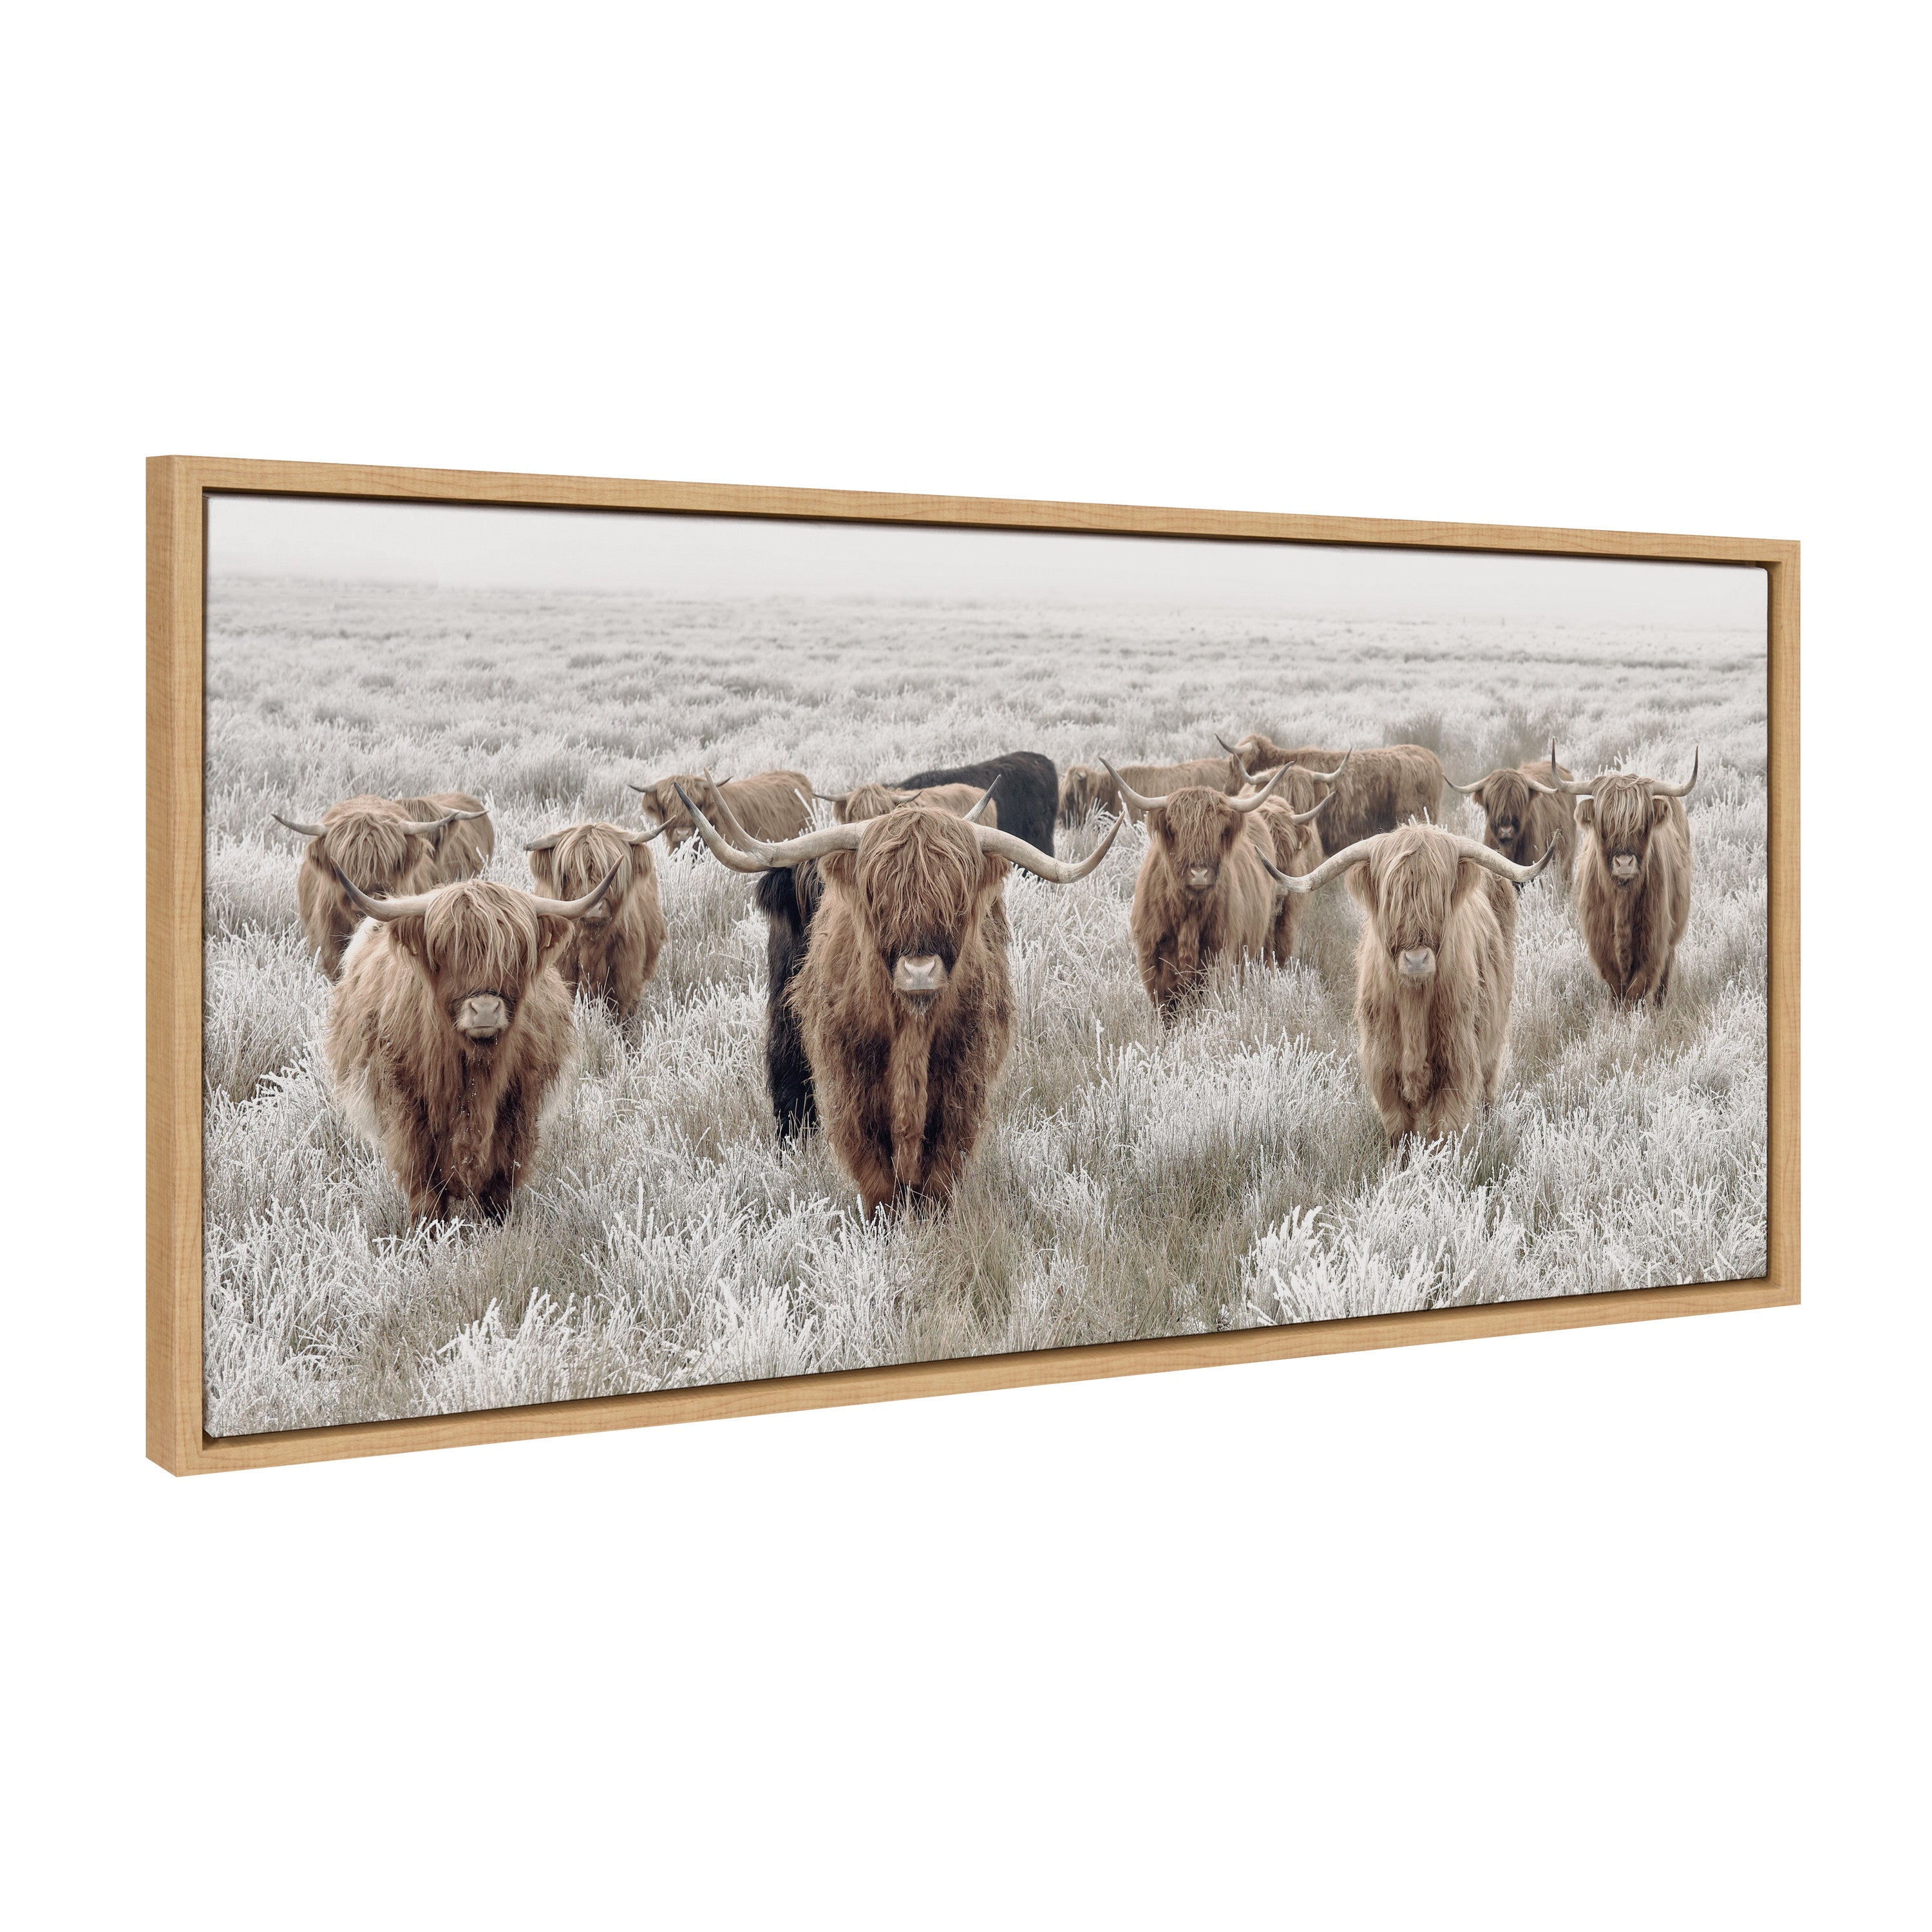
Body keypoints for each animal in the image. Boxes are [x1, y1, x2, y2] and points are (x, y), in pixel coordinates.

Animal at [324, 865, 619, 1221]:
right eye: (447, 951)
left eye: (515, 953)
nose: (486, 1009)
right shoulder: (408, 1108)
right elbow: (423, 1182)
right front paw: (428, 1230)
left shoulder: (519, 1106)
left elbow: (501, 1179)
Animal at [1103, 761, 1325, 1021]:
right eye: (1175, 829)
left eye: (1218, 831)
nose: (1199, 874)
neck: (1188, 914)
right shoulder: (1154, 962)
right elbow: (1167, 1010)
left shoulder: (1218, 956)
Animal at [1273, 825, 1554, 1142]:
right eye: (1391, 897)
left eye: (1439, 895)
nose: (1416, 960)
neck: (1414, 1004)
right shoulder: (1384, 1068)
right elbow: (1400, 1134)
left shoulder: (1456, 1063)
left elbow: (1444, 1133)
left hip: (1493, 1040)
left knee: (1487, 1090)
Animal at [1565, 751, 1698, 1006]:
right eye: (1604, 824)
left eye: (1642, 824)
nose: (1624, 863)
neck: (1621, 901)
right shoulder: (1602, 948)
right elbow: (1618, 991)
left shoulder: (1654, 944)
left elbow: (1636, 991)